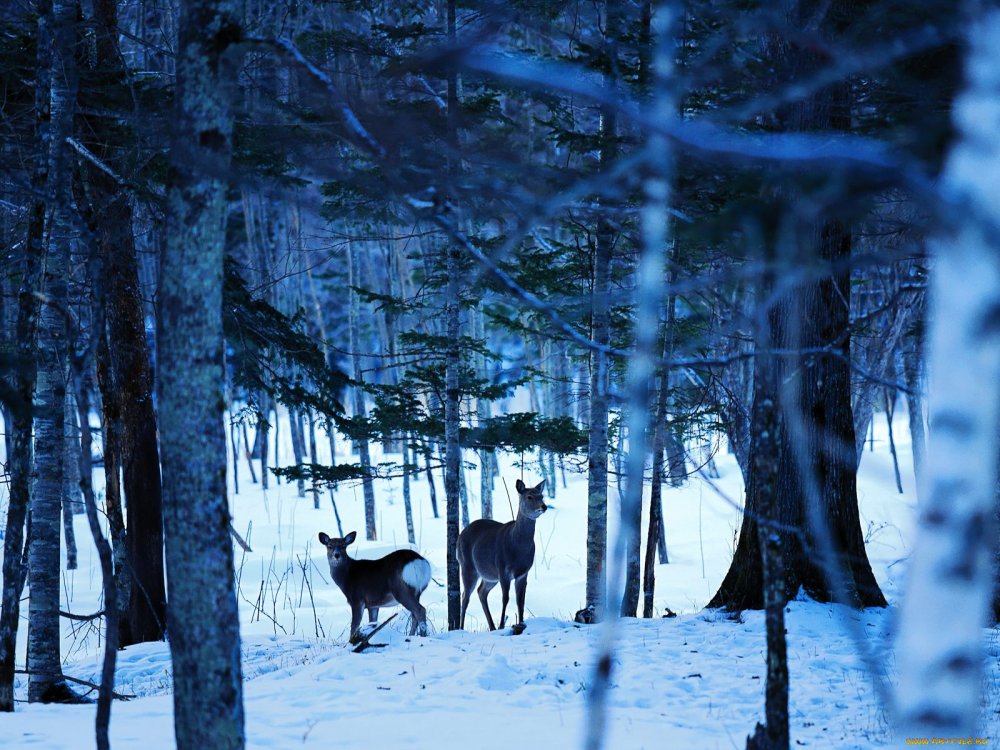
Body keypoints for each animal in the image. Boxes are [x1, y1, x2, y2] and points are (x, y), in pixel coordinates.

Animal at [458, 478, 548, 632]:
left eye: (541, 496)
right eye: (529, 496)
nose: (544, 506)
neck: (518, 548)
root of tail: (461, 533)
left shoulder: (523, 572)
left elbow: (520, 600)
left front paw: (521, 623)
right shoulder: (503, 569)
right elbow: (505, 598)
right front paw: (501, 625)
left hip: (489, 576)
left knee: (481, 591)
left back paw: (492, 626)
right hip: (467, 565)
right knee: (465, 596)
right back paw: (460, 627)